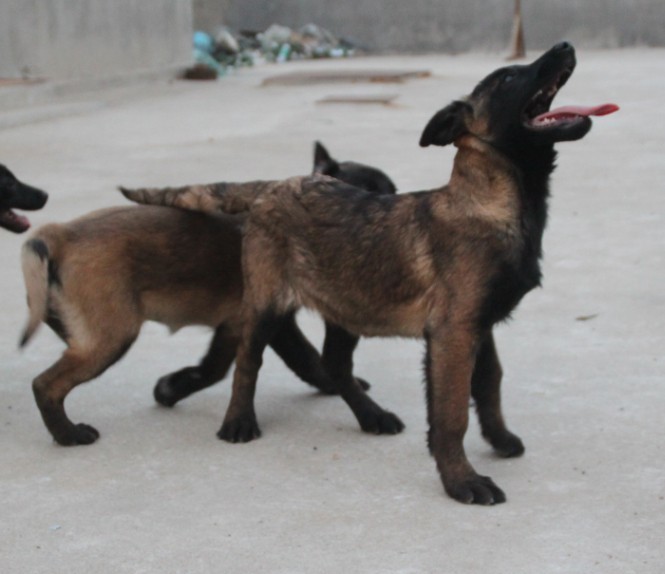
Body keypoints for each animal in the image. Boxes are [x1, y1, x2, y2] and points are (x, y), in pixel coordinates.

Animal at [122, 42, 616, 506]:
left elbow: (489, 383)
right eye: (510, 77)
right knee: (249, 361)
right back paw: (239, 421)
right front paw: (462, 481)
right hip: (267, 304)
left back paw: (371, 416)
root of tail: (273, 185)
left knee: (336, 366)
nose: (566, 46)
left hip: (348, 305)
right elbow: (451, 412)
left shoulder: (481, 324)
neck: (492, 200)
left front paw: (498, 439)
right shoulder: (454, 331)